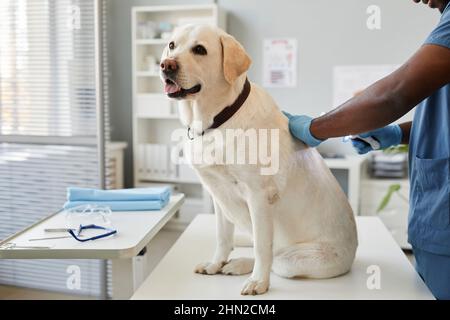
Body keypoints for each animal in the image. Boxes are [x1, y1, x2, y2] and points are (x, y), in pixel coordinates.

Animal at [160, 24, 356, 296]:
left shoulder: (259, 196)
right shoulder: (218, 194)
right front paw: (215, 264)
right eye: (171, 45)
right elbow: (223, 237)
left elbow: (263, 248)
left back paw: (244, 266)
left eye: (199, 49)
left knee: (275, 258)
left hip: (295, 259)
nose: (166, 65)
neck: (217, 120)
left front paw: (258, 282)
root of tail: (354, 252)